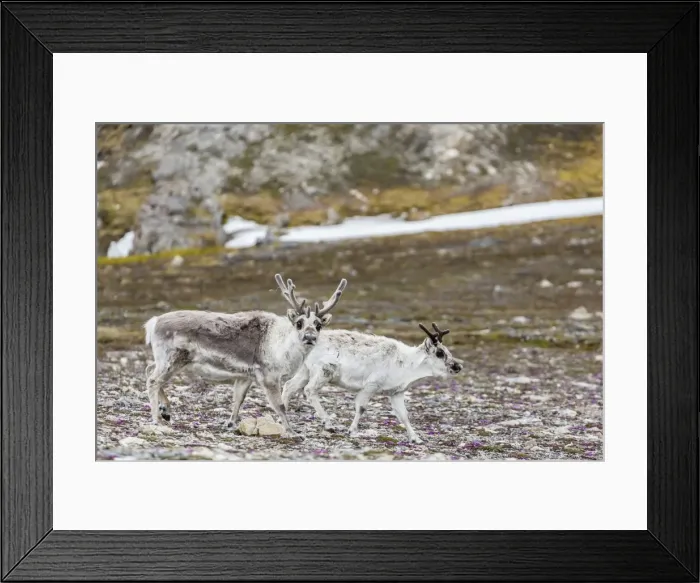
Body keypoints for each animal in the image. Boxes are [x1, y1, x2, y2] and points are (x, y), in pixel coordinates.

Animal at [143, 273, 347, 437]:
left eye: (319, 325)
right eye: (299, 323)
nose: (310, 337)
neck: (283, 347)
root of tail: (154, 322)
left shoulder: (245, 376)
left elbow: (238, 400)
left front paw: (231, 423)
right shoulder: (268, 377)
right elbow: (279, 405)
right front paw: (292, 431)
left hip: (169, 360)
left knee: (150, 371)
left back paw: (166, 411)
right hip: (172, 359)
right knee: (153, 380)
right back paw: (157, 418)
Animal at [281, 322, 464, 444]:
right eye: (440, 352)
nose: (458, 366)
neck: (407, 364)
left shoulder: (396, 392)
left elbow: (404, 415)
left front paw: (416, 438)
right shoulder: (371, 385)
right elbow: (361, 407)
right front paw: (352, 430)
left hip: (305, 371)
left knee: (288, 387)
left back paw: (283, 419)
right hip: (324, 370)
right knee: (309, 391)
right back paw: (329, 424)